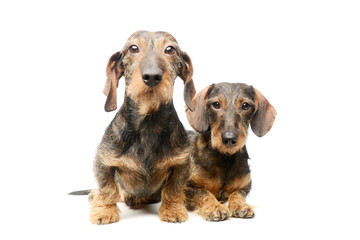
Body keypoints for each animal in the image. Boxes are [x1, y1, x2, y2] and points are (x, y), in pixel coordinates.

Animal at [88, 31, 197, 224]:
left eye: (170, 49)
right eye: (133, 48)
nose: (152, 76)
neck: (148, 123)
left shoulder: (183, 163)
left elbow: (173, 188)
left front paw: (173, 209)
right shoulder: (103, 161)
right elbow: (107, 188)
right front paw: (104, 211)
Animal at [184, 82, 278, 221]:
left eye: (245, 105)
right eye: (216, 104)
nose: (229, 138)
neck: (225, 158)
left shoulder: (245, 186)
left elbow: (236, 193)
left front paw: (240, 205)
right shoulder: (185, 187)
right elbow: (203, 193)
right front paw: (215, 207)